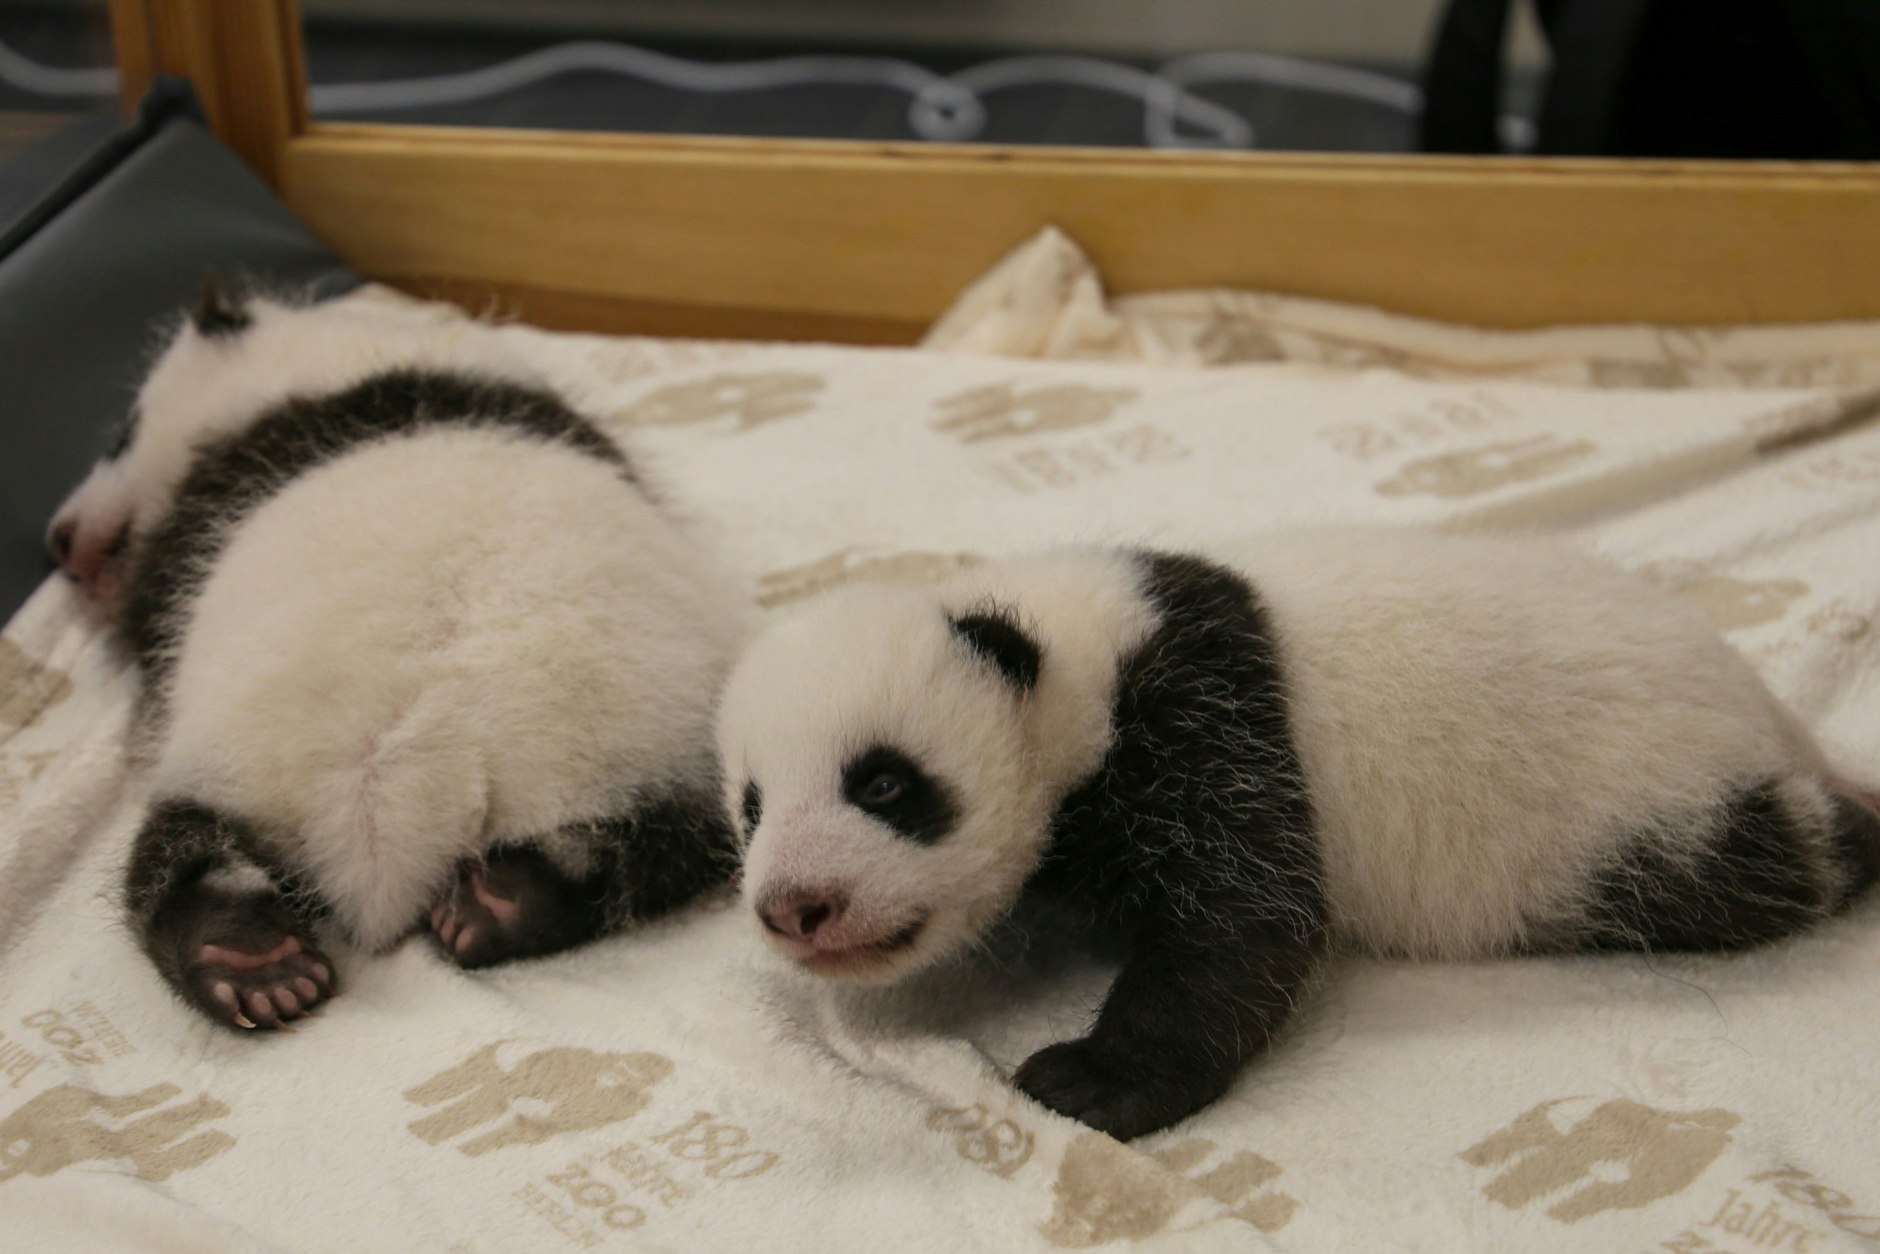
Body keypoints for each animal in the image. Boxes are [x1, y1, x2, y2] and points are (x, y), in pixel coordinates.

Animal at [47, 283, 746, 1032]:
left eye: (121, 435)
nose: (60, 539)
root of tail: (403, 769)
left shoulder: (184, 538)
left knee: (170, 856)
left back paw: (254, 957)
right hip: (648, 748)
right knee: (659, 842)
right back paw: (484, 907)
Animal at [715, 530, 1880, 1141]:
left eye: (884, 783)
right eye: (751, 806)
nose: (795, 908)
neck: (1072, 654)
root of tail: (1772, 713)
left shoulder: (1205, 722)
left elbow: (1248, 919)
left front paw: (1089, 1083)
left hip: (1653, 804)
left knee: (1765, 865)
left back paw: (1841, 841)